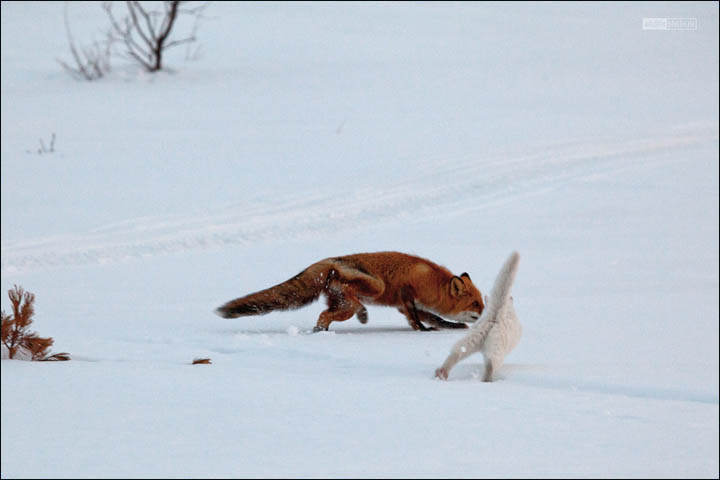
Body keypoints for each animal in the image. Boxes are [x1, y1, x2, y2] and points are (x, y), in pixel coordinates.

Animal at [214, 251, 484, 334]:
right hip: (375, 285)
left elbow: (435, 318)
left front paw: (451, 326)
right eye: (475, 304)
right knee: (344, 303)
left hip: (338, 300)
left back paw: (322, 331)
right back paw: (362, 313)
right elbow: (418, 320)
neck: (430, 280)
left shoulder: (405, 305)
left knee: (325, 314)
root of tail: (325, 261)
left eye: (482, 302)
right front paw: (423, 331)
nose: (486, 315)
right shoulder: (406, 294)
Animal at [436, 251, 520, 382]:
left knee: (455, 353)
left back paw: (441, 373)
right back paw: (487, 380)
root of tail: (494, 316)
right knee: (491, 365)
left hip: (470, 340)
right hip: (496, 349)